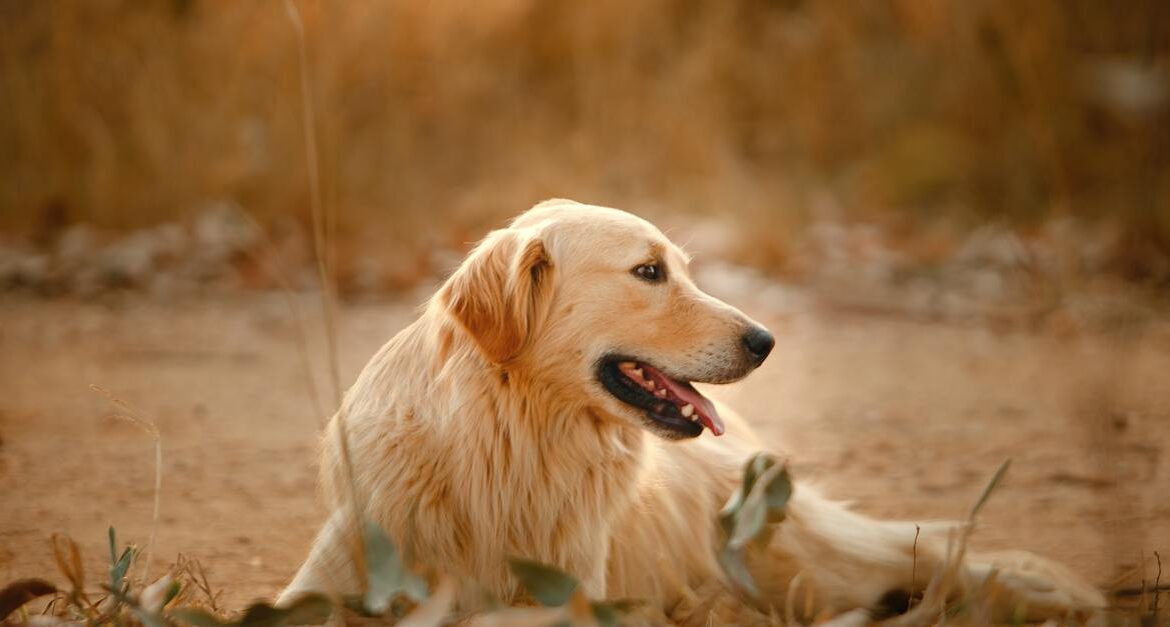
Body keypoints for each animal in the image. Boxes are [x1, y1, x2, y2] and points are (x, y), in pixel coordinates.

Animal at [276, 200, 1104, 622]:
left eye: (680, 266)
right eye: (649, 272)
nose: (766, 339)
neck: (510, 442)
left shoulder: (570, 596)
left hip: (799, 555)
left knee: (933, 547)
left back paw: (1048, 593)